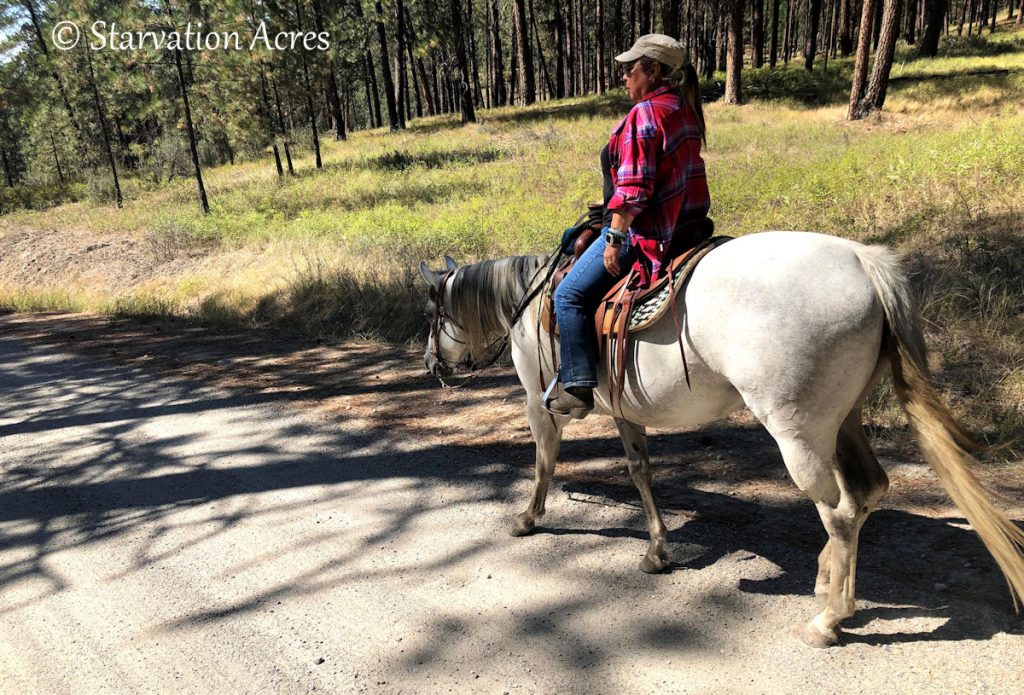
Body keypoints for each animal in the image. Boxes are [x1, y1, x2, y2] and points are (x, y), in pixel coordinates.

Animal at [419, 232, 1024, 646]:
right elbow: (640, 473)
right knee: (870, 491)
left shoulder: (538, 403)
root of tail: (861, 259)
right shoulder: (624, 412)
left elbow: (544, 463)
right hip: (844, 421)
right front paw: (658, 550)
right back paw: (826, 577)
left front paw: (528, 519)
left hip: (799, 432)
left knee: (841, 510)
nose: (431, 364)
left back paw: (829, 619)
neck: (528, 303)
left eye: (434, 311)